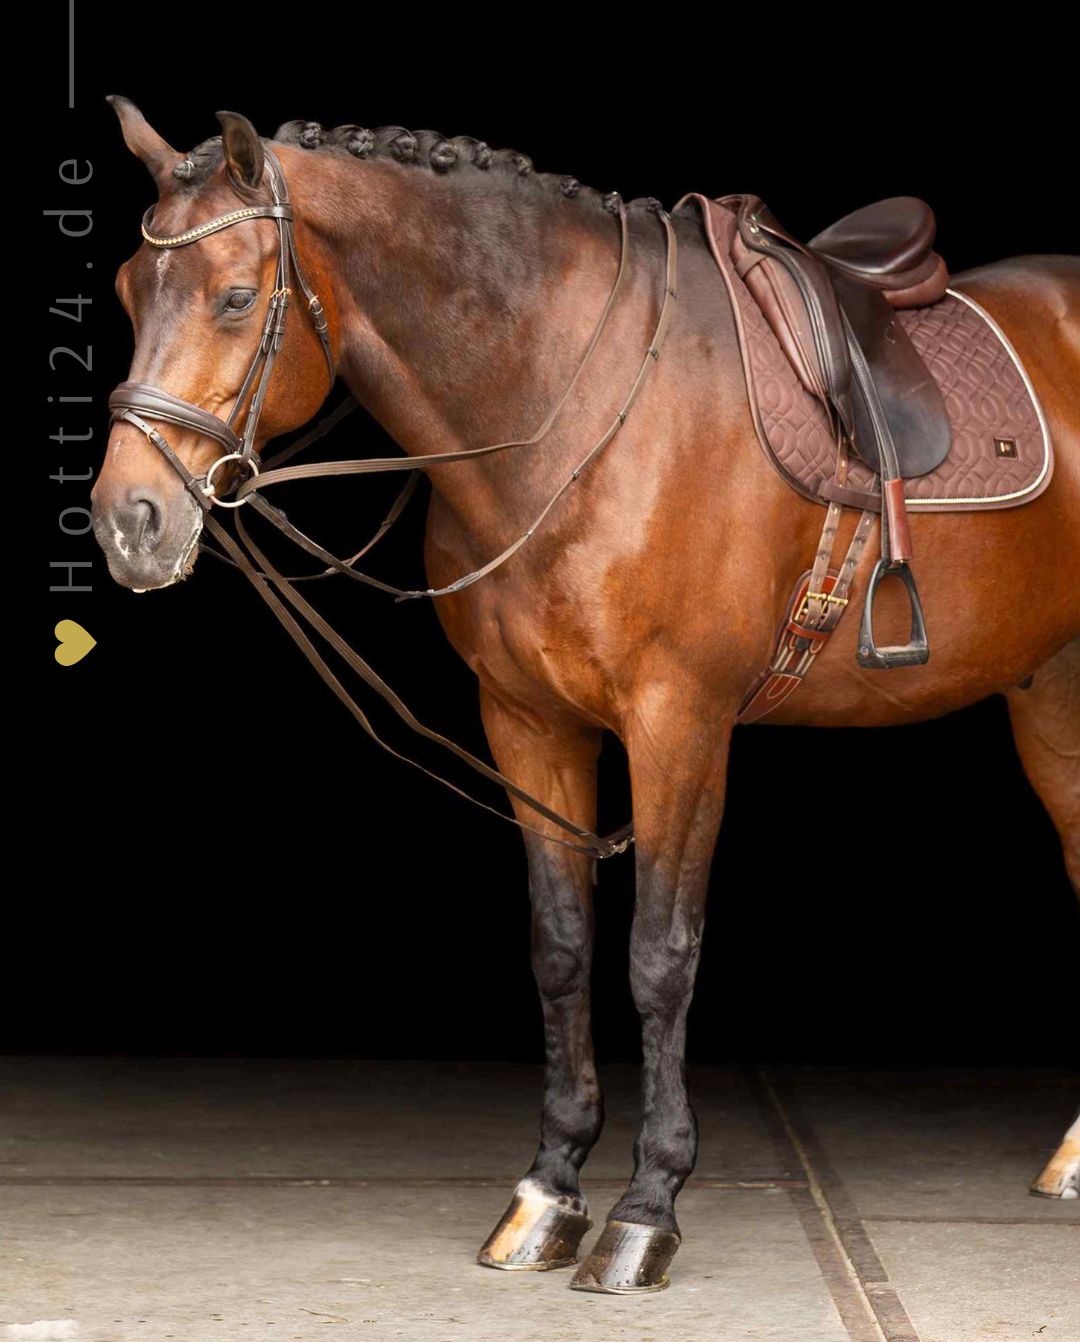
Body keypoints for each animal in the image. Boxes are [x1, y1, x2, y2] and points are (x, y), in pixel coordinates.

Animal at [92, 100, 1080, 1294]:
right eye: (125, 292)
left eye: (236, 297)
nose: (128, 520)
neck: (573, 401)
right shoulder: (528, 723)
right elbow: (560, 945)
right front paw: (550, 1190)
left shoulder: (679, 724)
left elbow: (660, 956)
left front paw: (648, 1208)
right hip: (1051, 698)